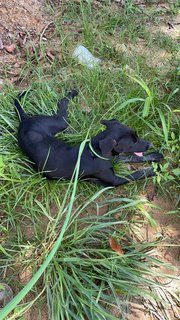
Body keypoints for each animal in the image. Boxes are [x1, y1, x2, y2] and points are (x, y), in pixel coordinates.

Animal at [14, 90, 163, 186]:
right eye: (133, 142)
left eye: (137, 136)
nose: (150, 145)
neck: (95, 152)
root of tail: (25, 120)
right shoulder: (114, 181)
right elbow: (136, 174)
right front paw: (154, 169)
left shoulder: (113, 157)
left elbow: (132, 157)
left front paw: (155, 156)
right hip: (60, 122)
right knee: (61, 103)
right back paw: (72, 93)